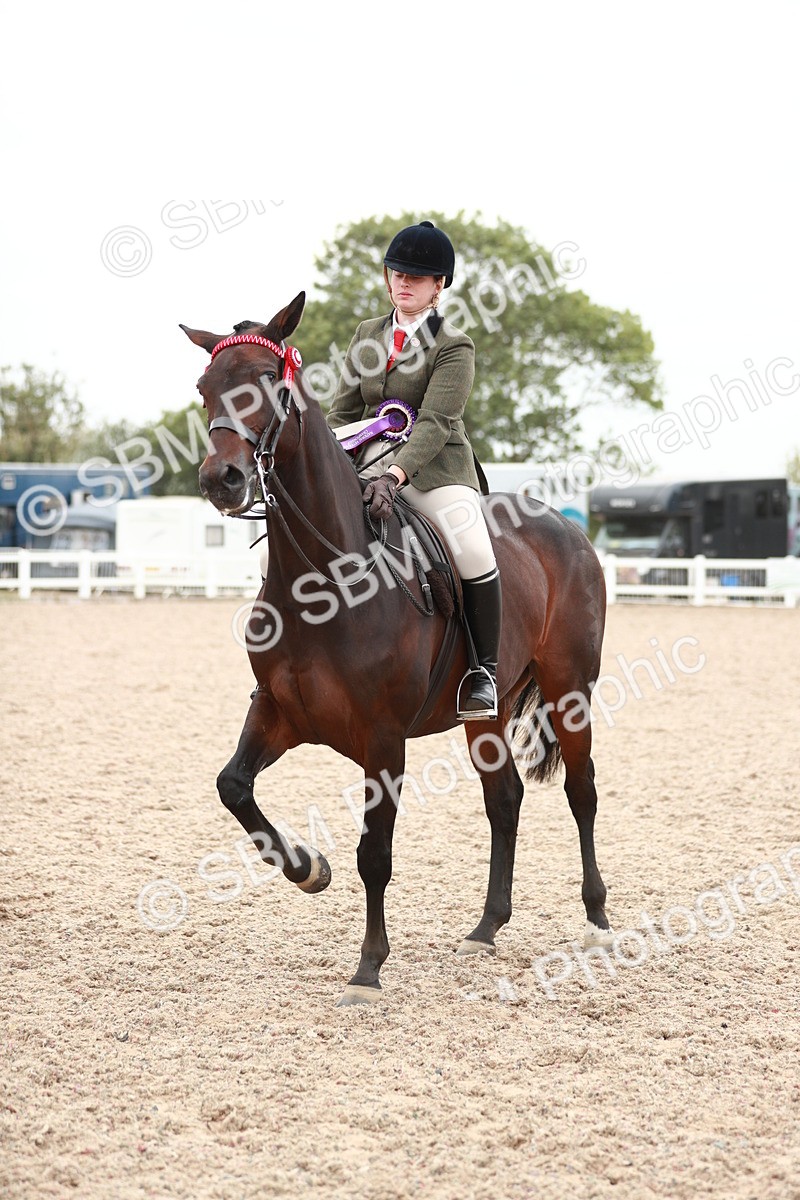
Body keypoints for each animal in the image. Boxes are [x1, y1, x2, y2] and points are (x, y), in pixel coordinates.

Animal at [181, 292, 613, 1006]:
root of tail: (567, 527)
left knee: (582, 790)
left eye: (272, 383)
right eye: (204, 387)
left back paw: (598, 921)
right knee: (505, 800)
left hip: (569, 688)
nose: (224, 478)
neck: (324, 579)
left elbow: (374, 855)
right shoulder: (278, 710)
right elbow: (233, 787)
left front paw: (367, 970)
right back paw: (485, 929)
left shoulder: (383, 740)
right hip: (486, 712)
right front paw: (309, 870)